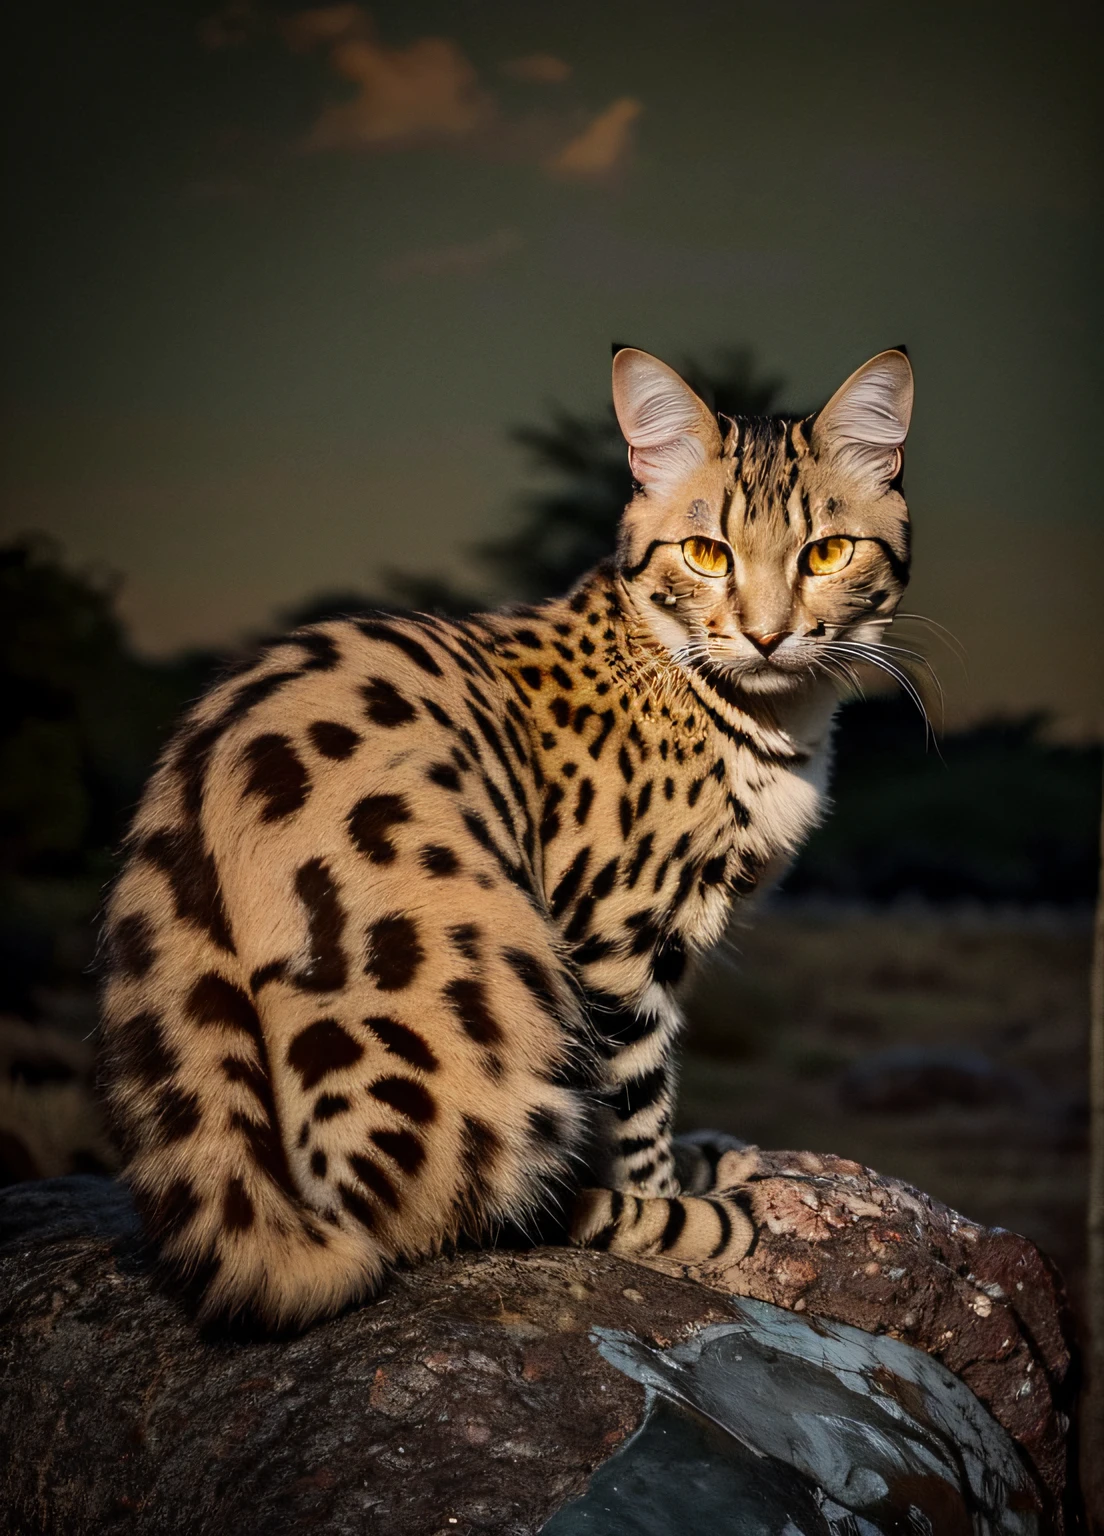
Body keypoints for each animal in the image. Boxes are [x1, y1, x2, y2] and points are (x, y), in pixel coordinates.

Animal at [97, 345, 915, 1320]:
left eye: (826, 552)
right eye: (705, 553)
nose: (765, 635)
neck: (768, 716)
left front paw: (688, 1171)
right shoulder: (612, 941)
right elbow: (639, 1100)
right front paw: (669, 1205)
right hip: (498, 968)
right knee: (439, 1209)